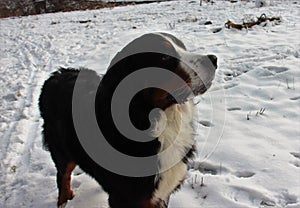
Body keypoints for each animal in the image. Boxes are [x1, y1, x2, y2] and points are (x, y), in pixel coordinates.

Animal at [39, 32, 218, 208]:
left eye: (182, 46)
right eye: (164, 57)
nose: (213, 59)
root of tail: (57, 74)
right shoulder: (125, 198)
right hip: (61, 150)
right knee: (63, 175)